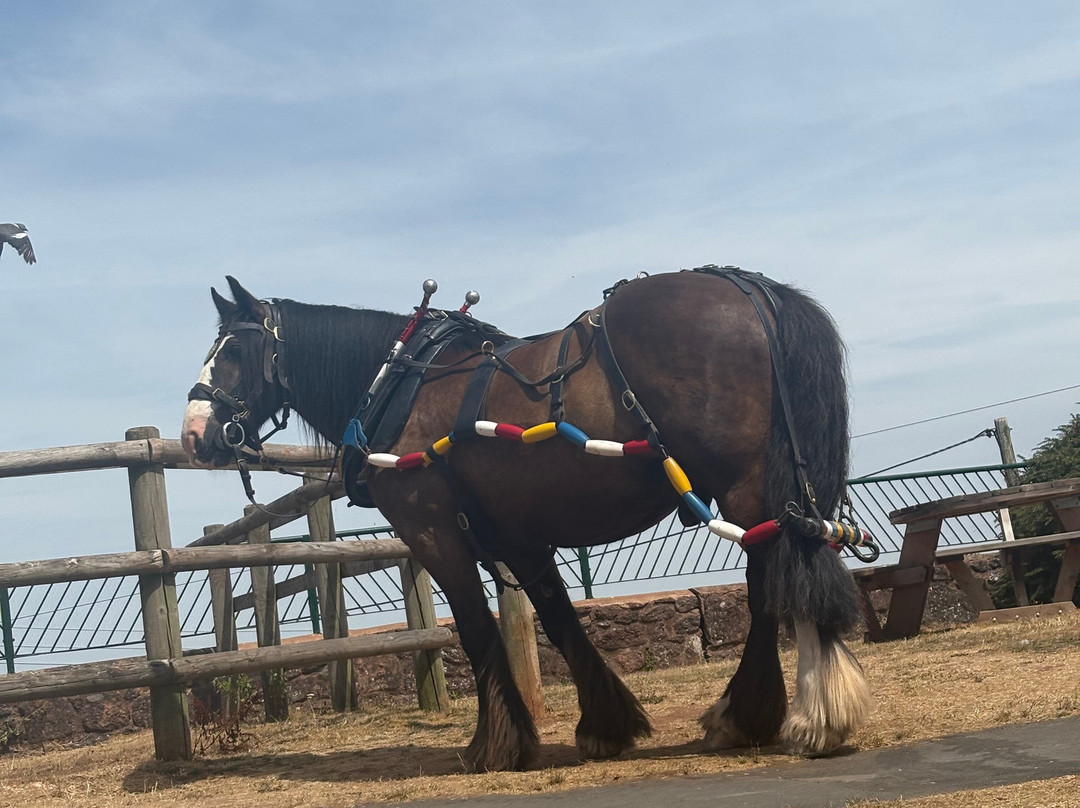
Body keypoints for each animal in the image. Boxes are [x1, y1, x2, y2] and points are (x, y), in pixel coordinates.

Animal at [180, 269, 871, 771]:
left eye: (234, 350)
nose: (194, 434)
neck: (397, 382)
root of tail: (751, 291)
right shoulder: (518, 536)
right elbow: (560, 623)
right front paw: (605, 724)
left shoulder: (433, 531)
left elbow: (477, 631)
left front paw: (496, 744)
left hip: (748, 489)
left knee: (775, 586)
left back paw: (788, 716)